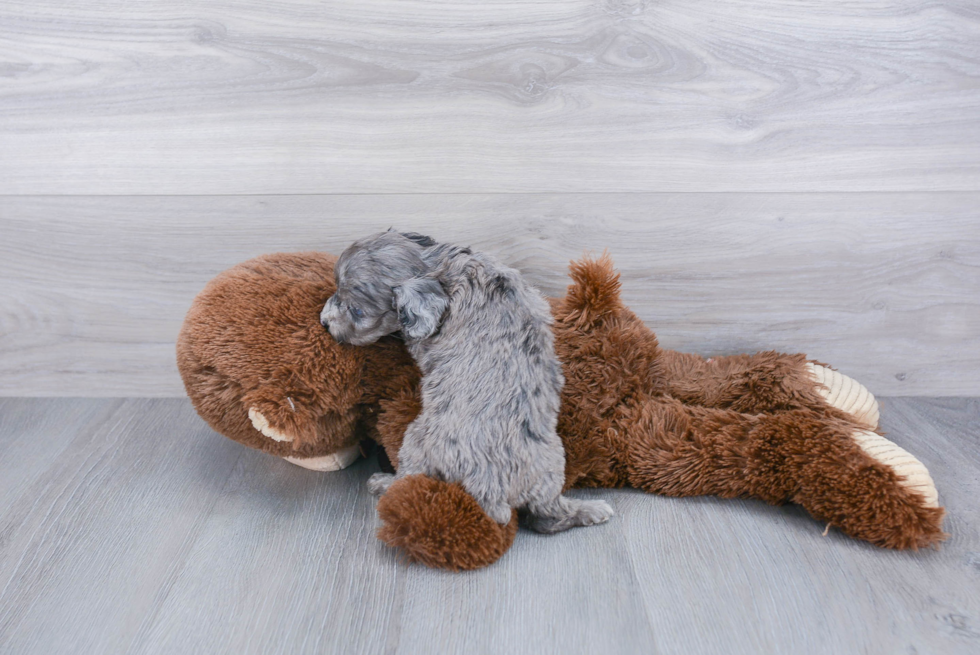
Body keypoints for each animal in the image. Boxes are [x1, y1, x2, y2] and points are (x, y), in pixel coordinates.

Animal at [322, 231, 612, 532]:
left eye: (357, 311)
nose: (324, 322)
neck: (439, 264)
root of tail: (497, 495)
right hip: (553, 460)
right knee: (550, 517)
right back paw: (589, 510)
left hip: (416, 440)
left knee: (409, 479)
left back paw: (384, 483)